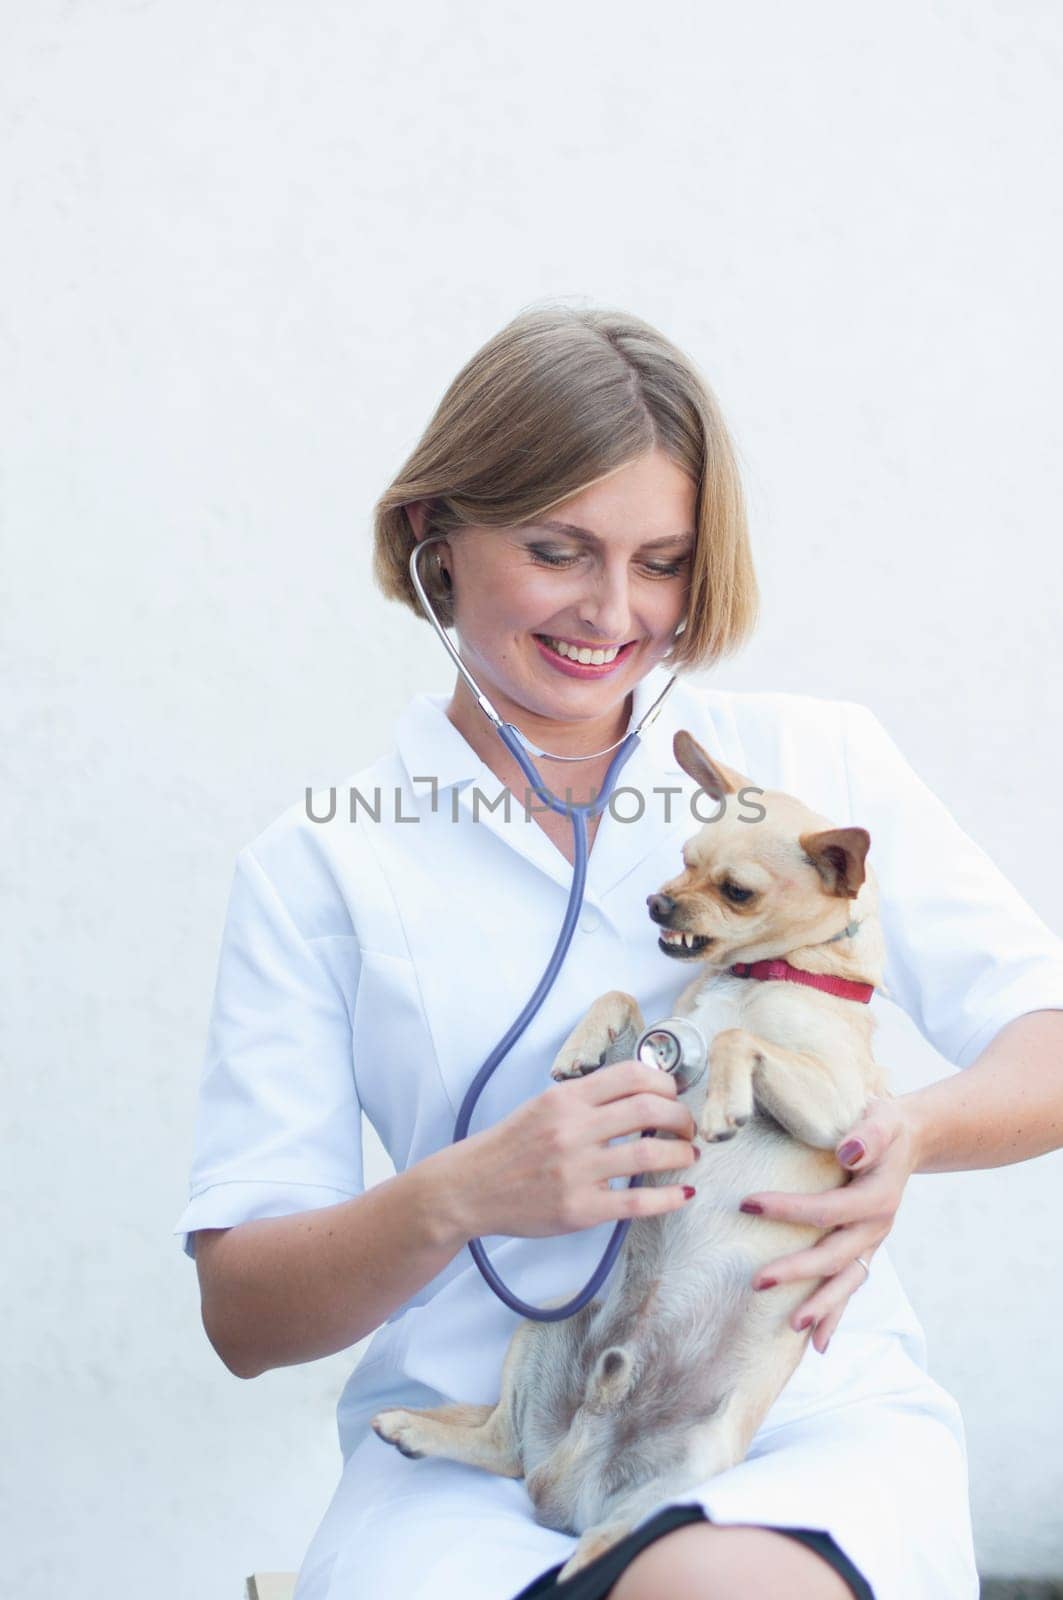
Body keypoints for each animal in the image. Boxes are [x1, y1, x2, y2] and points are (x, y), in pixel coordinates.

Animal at [369, 732, 883, 1580]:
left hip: (688, 1473)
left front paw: (724, 1104)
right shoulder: (658, 1048)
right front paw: (579, 1049)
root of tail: (570, 1480)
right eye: (682, 858)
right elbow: (622, 999)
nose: (657, 903)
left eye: (737, 892)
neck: (764, 972)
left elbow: (738, 1039)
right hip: (542, 1332)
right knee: (502, 1446)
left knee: (604, 1535)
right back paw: (416, 1428)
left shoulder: (838, 1109)